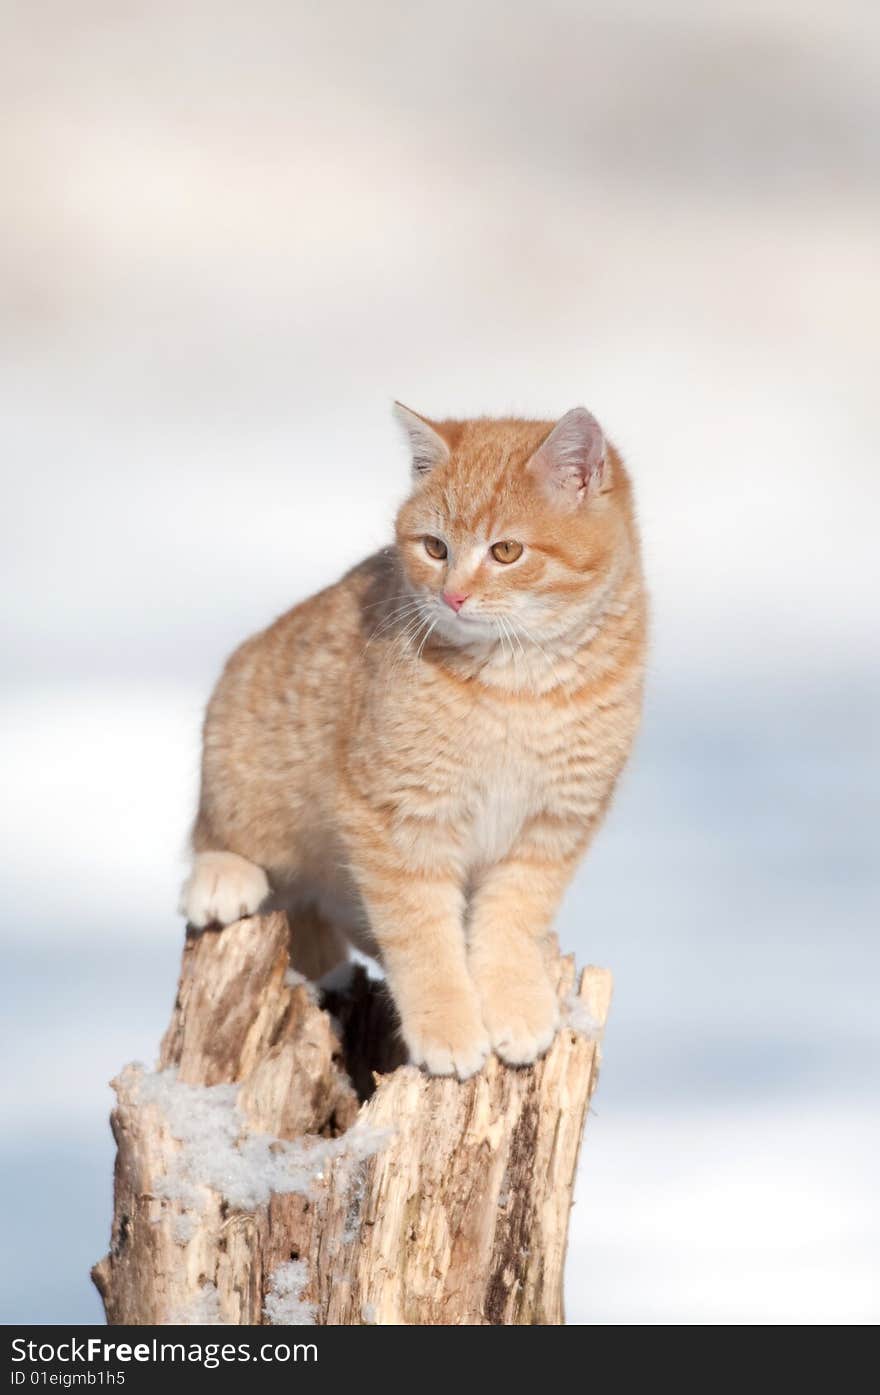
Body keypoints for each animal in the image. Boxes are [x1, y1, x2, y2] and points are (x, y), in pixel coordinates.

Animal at [181, 404, 647, 1076]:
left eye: (506, 551)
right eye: (434, 547)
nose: (452, 595)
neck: (518, 687)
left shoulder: (555, 823)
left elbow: (512, 920)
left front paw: (514, 1005)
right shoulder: (398, 818)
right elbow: (421, 934)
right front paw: (447, 1026)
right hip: (244, 752)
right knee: (219, 836)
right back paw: (222, 877)